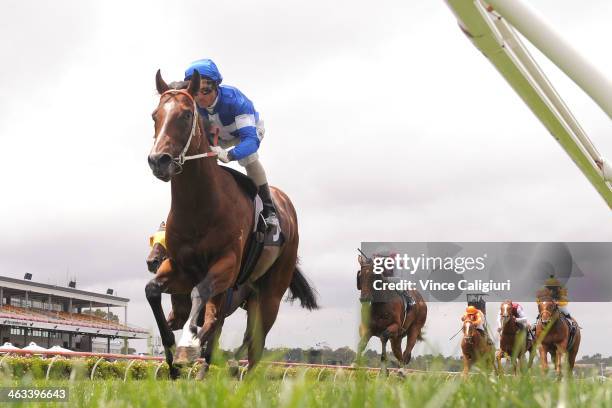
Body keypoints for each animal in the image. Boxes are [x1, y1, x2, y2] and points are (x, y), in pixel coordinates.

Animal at [143, 70, 316, 380]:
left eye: (186, 115)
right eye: (155, 115)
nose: (158, 161)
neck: (199, 207)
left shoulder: (226, 264)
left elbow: (201, 294)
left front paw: (188, 345)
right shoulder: (180, 269)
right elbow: (153, 291)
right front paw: (172, 359)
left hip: (269, 296)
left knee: (254, 345)